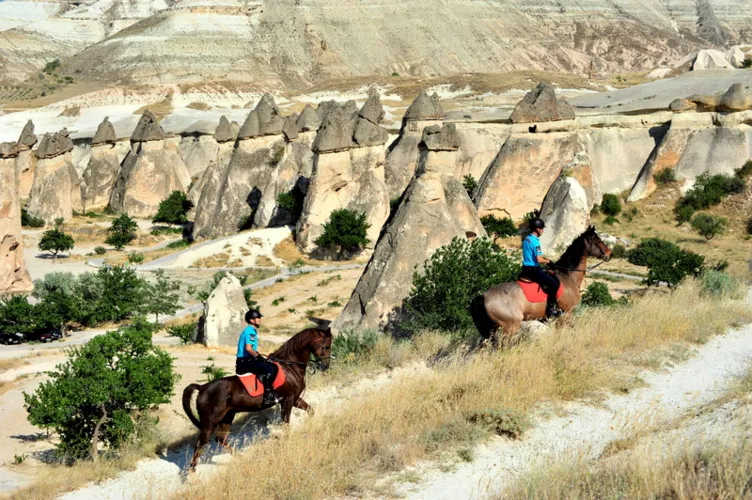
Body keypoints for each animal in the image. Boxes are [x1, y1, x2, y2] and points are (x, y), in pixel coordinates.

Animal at [181, 326, 330, 470]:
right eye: (327, 346)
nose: (326, 366)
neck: (289, 367)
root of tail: (202, 388)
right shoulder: (288, 400)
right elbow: (286, 423)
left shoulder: (294, 399)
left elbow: (310, 410)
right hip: (210, 422)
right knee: (200, 445)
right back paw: (192, 472)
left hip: (227, 416)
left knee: (220, 439)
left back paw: (239, 459)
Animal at [472, 227, 612, 348]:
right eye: (597, 240)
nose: (609, 254)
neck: (568, 276)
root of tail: (483, 296)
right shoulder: (565, 314)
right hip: (509, 327)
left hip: (491, 329)